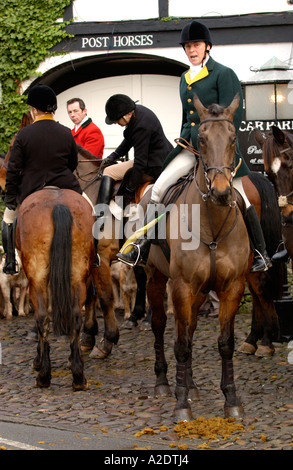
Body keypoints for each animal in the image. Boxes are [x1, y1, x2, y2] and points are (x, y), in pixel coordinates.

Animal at [15, 187, 94, 390]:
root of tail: (58, 205)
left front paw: (39, 359)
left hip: (37, 278)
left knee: (42, 318)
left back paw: (43, 375)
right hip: (78, 275)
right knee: (75, 317)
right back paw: (78, 375)